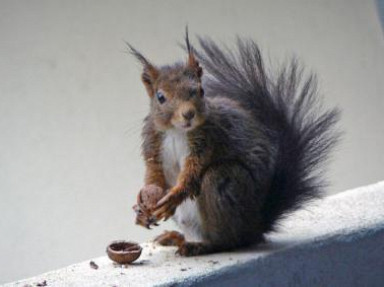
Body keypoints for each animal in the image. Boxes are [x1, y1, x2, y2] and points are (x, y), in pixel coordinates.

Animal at [127, 29, 340, 258]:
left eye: (201, 91)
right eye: (160, 97)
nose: (188, 114)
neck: (177, 131)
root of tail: (255, 227)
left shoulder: (208, 139)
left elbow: (192, 173)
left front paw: (173, 197)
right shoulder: (153, 143)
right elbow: (154, 176)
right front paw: (143, 204)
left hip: (223, 184)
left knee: (227, 239)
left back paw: (201, 245)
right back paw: (176, 238)